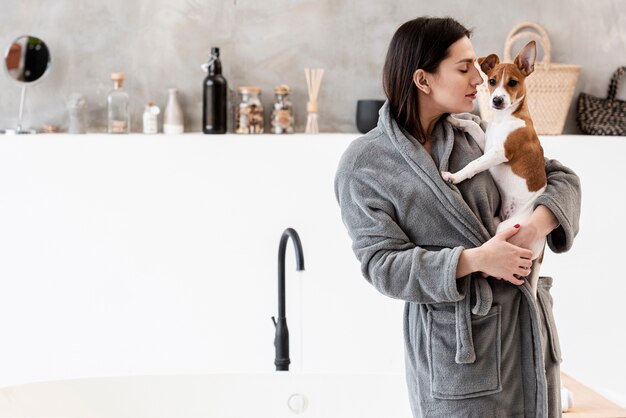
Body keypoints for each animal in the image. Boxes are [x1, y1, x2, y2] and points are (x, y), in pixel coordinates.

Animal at [438, 40, 544, 298]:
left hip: (508, 229)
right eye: (492, 81)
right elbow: (472, 127)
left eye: (513, 83)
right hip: (498, 220)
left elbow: (473, 165)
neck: (504, 119)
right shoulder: (486, 144)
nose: (496, 100)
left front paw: (454, 176)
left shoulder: (498, 153)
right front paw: (455, 120)